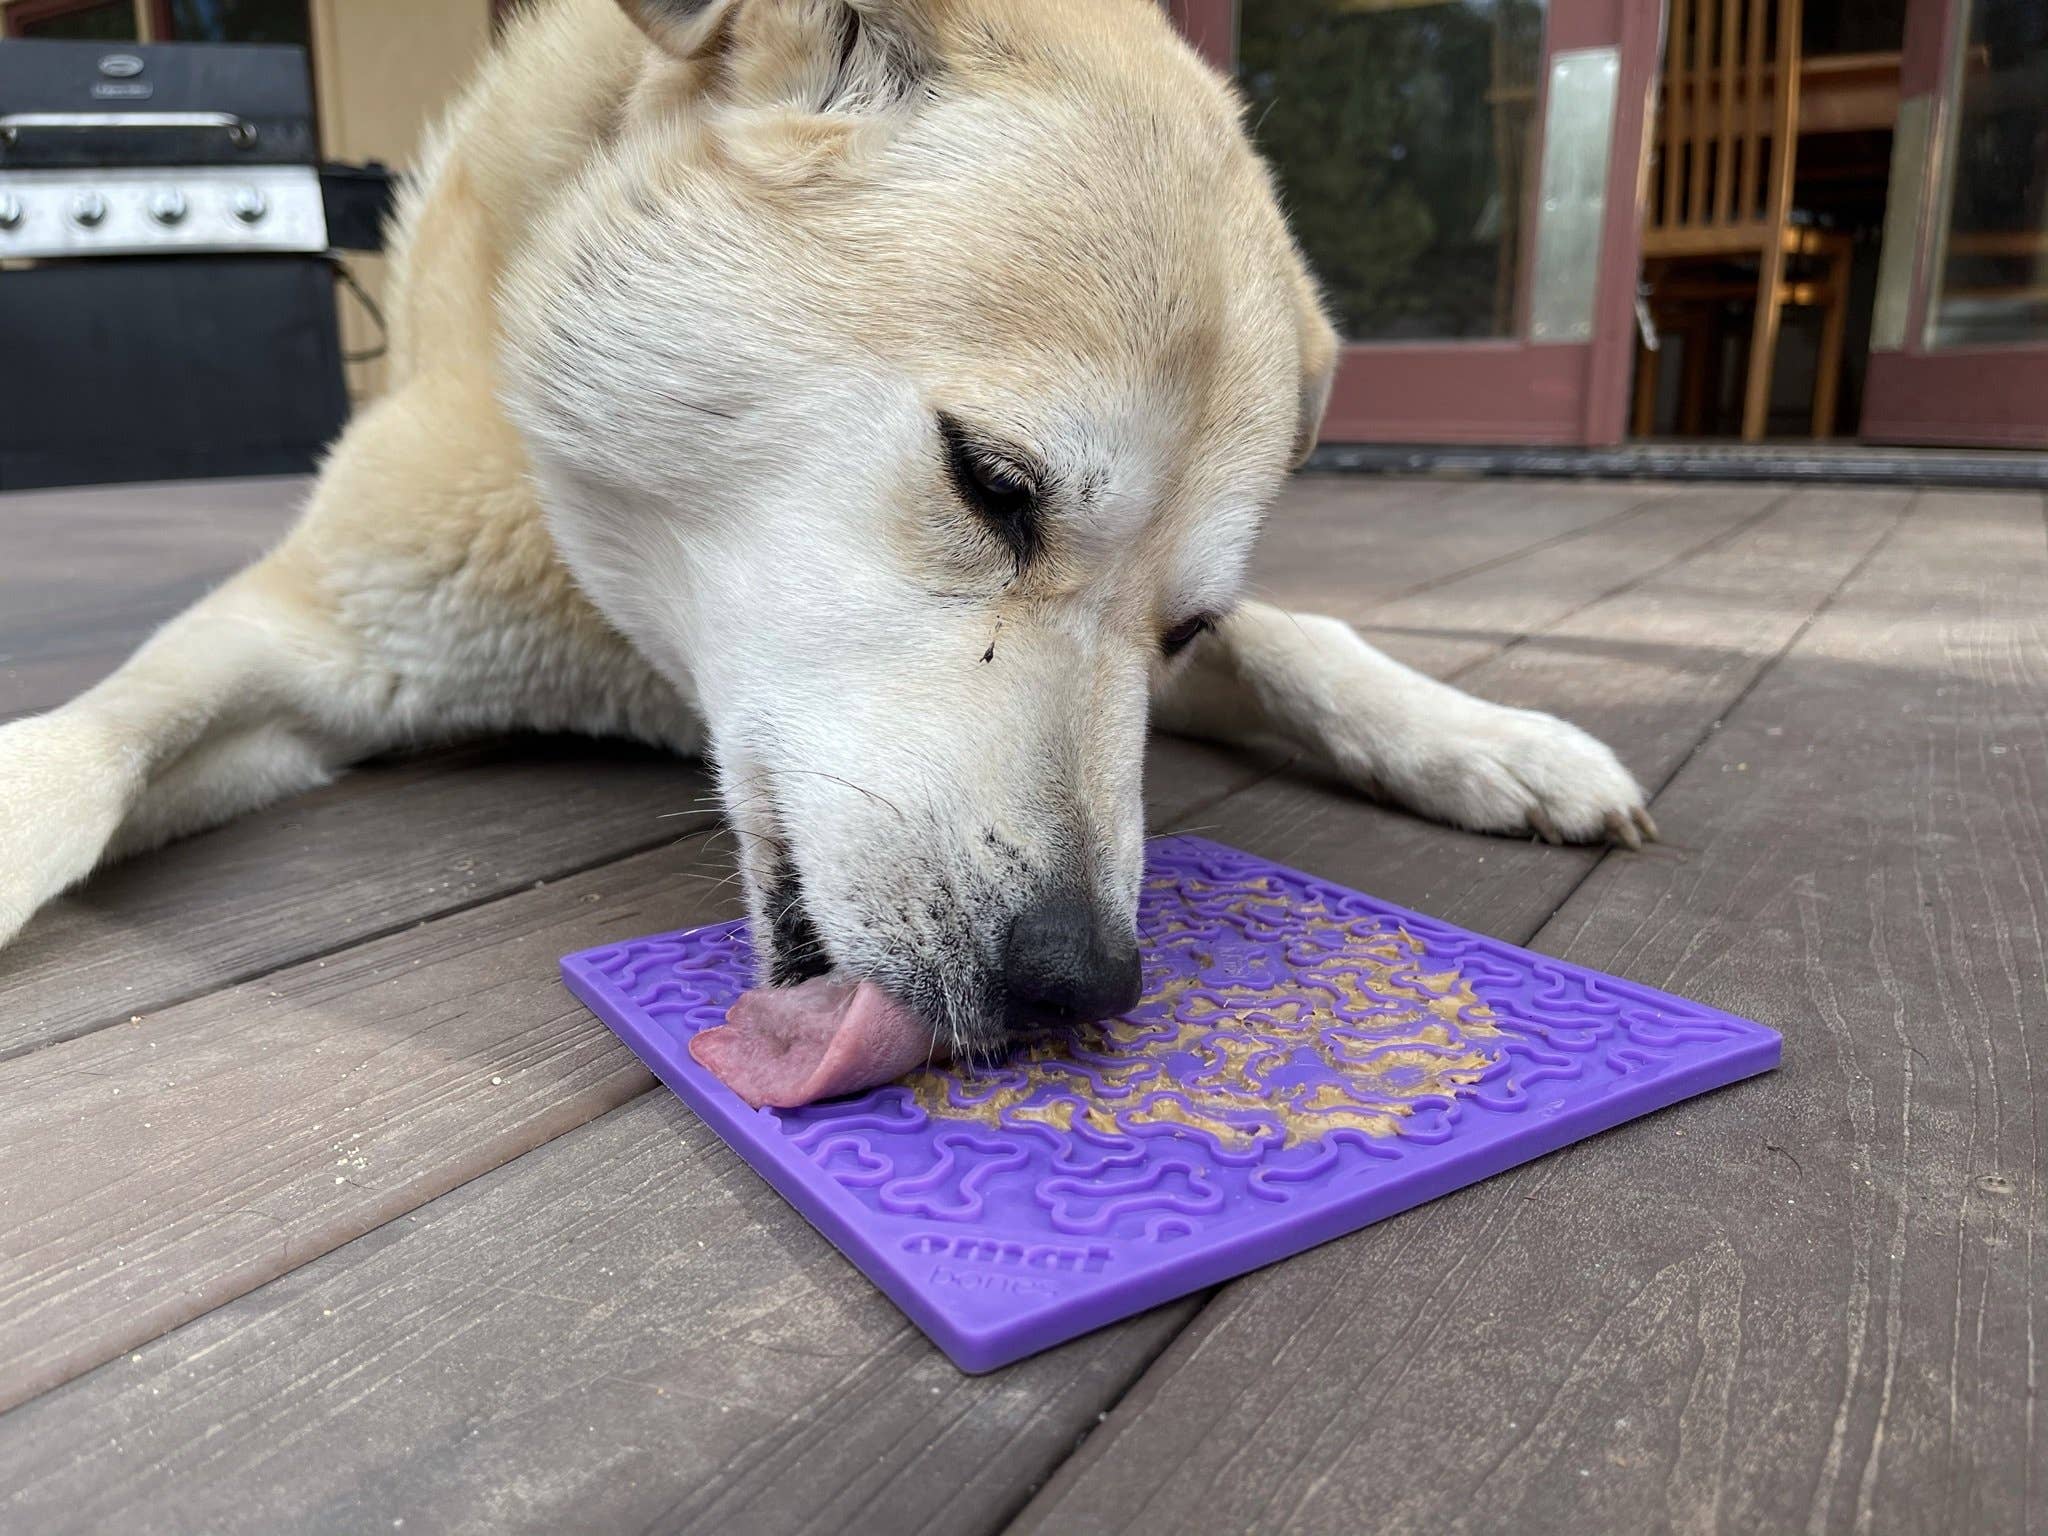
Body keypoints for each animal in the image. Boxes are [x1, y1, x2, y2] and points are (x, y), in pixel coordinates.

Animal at [0, 0, 1646, 1064]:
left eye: (1182, 626)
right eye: (991, 483)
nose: (1079, 982)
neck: (644, 643)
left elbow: (1308, 641)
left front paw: (1493, 739)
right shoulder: (326, 631)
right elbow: (86, 753)